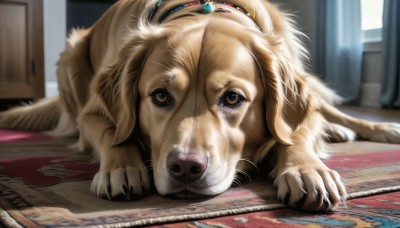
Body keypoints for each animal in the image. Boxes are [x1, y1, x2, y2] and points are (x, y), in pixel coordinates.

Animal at [0, 0, 400, 211]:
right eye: (160, 96)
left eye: (232, 98)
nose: (186, 167)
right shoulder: (90, 115)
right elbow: (115, 130)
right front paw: (122, 168)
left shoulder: (295, 112)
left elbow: (294, 135)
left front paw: (305, 170)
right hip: (71, 56)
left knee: (327, 108)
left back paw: (374, 128)